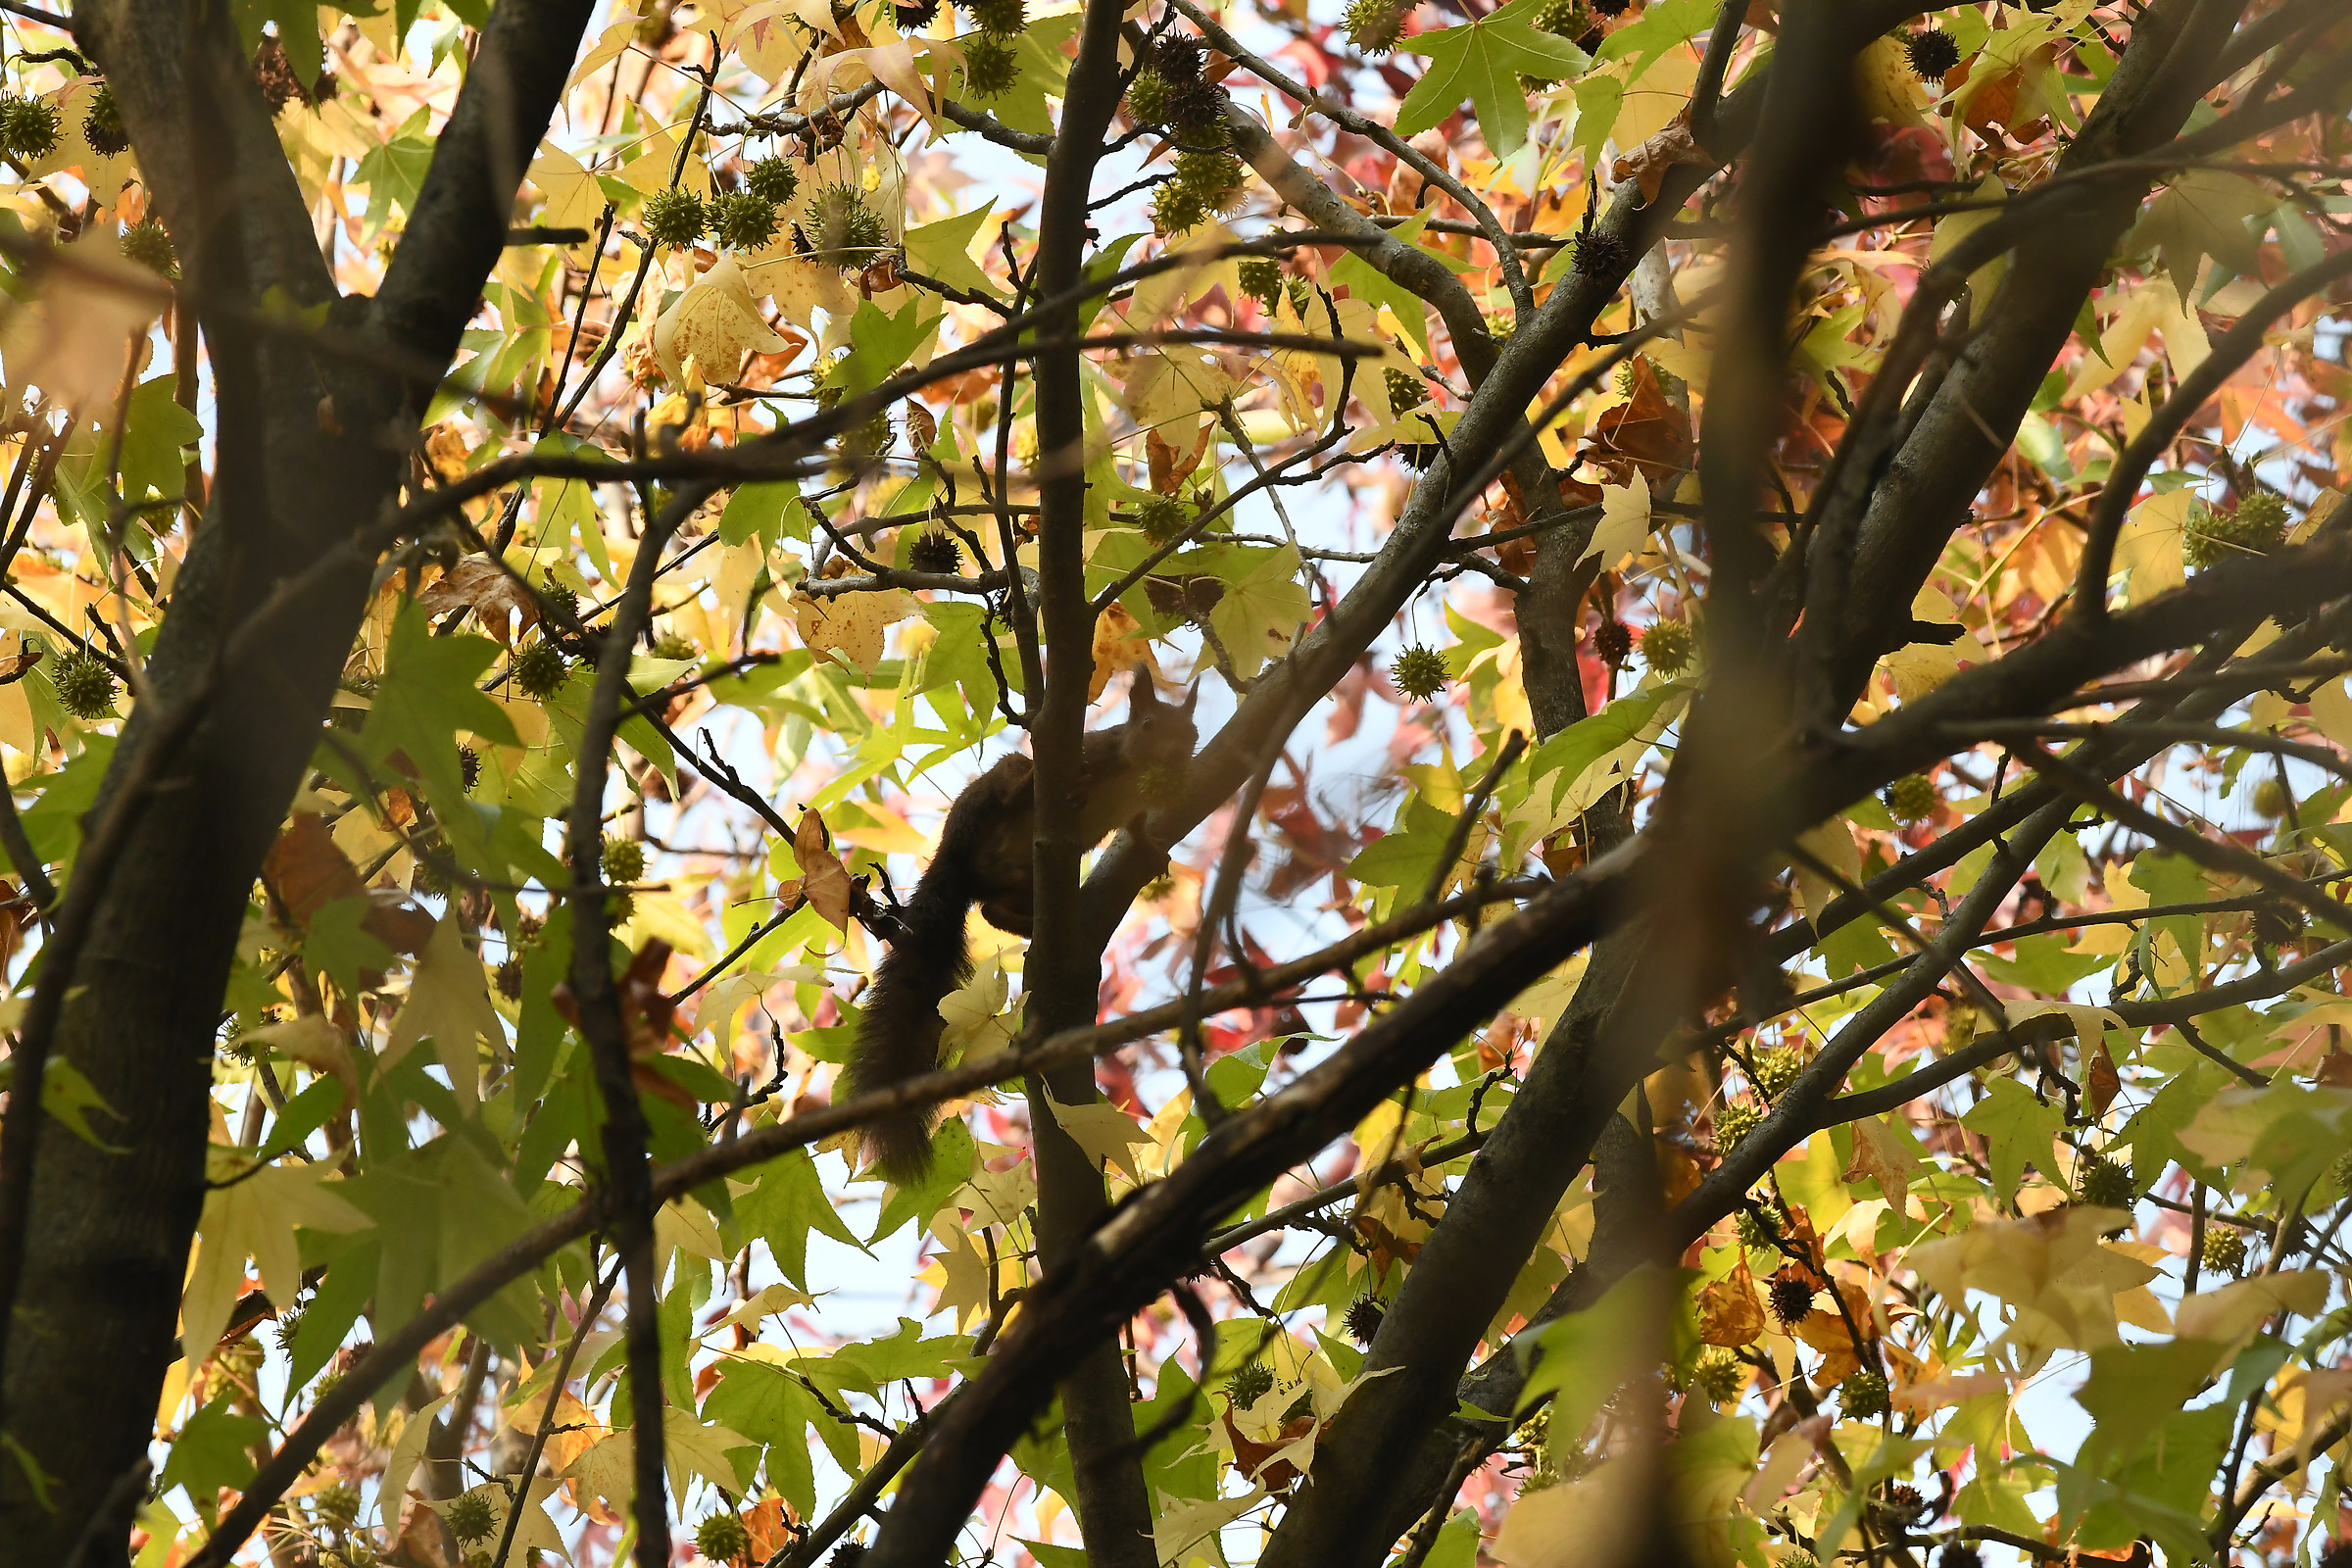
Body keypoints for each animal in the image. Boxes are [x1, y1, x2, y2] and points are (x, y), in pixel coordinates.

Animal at [845, 673, 1198, 1179]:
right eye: (1148, 724)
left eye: (1191, 735)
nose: (1174, 757)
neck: (1131, 773)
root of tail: (953, 862)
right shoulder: (1097, 749)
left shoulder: (1137, 806)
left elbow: (1135, 826)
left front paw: (1151, 848)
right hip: (990, 795)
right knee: (1008, 790)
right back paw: (1029, 784)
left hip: (1019, 883)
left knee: (993, 910)